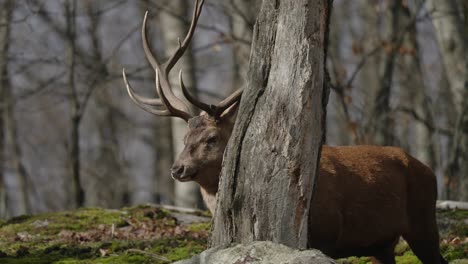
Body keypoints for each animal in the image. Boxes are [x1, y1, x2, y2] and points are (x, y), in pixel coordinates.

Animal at [122, 1, 448, 262]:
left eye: (211, 138)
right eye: (184, 138)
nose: (177, 168)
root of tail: (428, 170)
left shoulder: (327, 233)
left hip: (424, 222)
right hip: (383, 243)